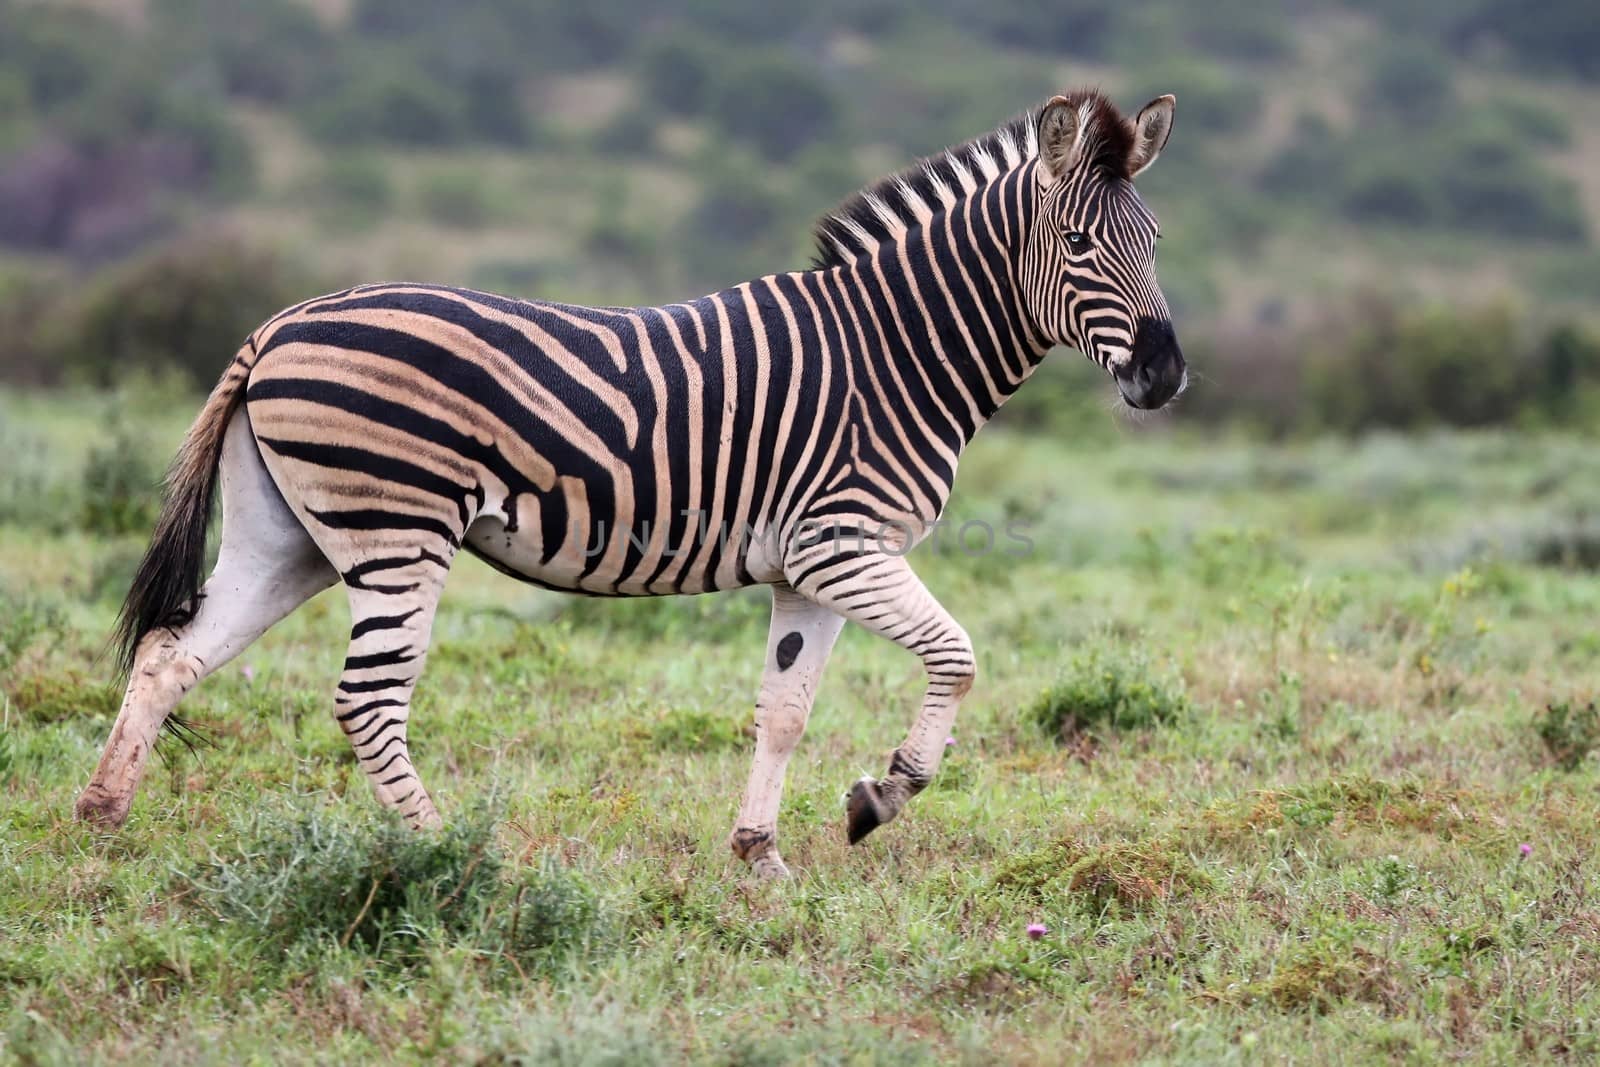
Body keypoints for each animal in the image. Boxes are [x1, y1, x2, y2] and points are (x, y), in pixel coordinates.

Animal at [75, 89, 1184, 876]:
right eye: (1080, 245)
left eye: (1156, 244)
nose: (1166, 376)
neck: (897, 352)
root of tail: (280, 322)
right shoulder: (845, 544)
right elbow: (958, 655)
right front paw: (882, 795)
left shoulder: (807, 569)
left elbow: (784, 707)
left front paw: (759, 856)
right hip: (397, 529)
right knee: (367, 698)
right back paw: (448, 854)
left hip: (291, 538)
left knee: (172, 654)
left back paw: (102, 815)